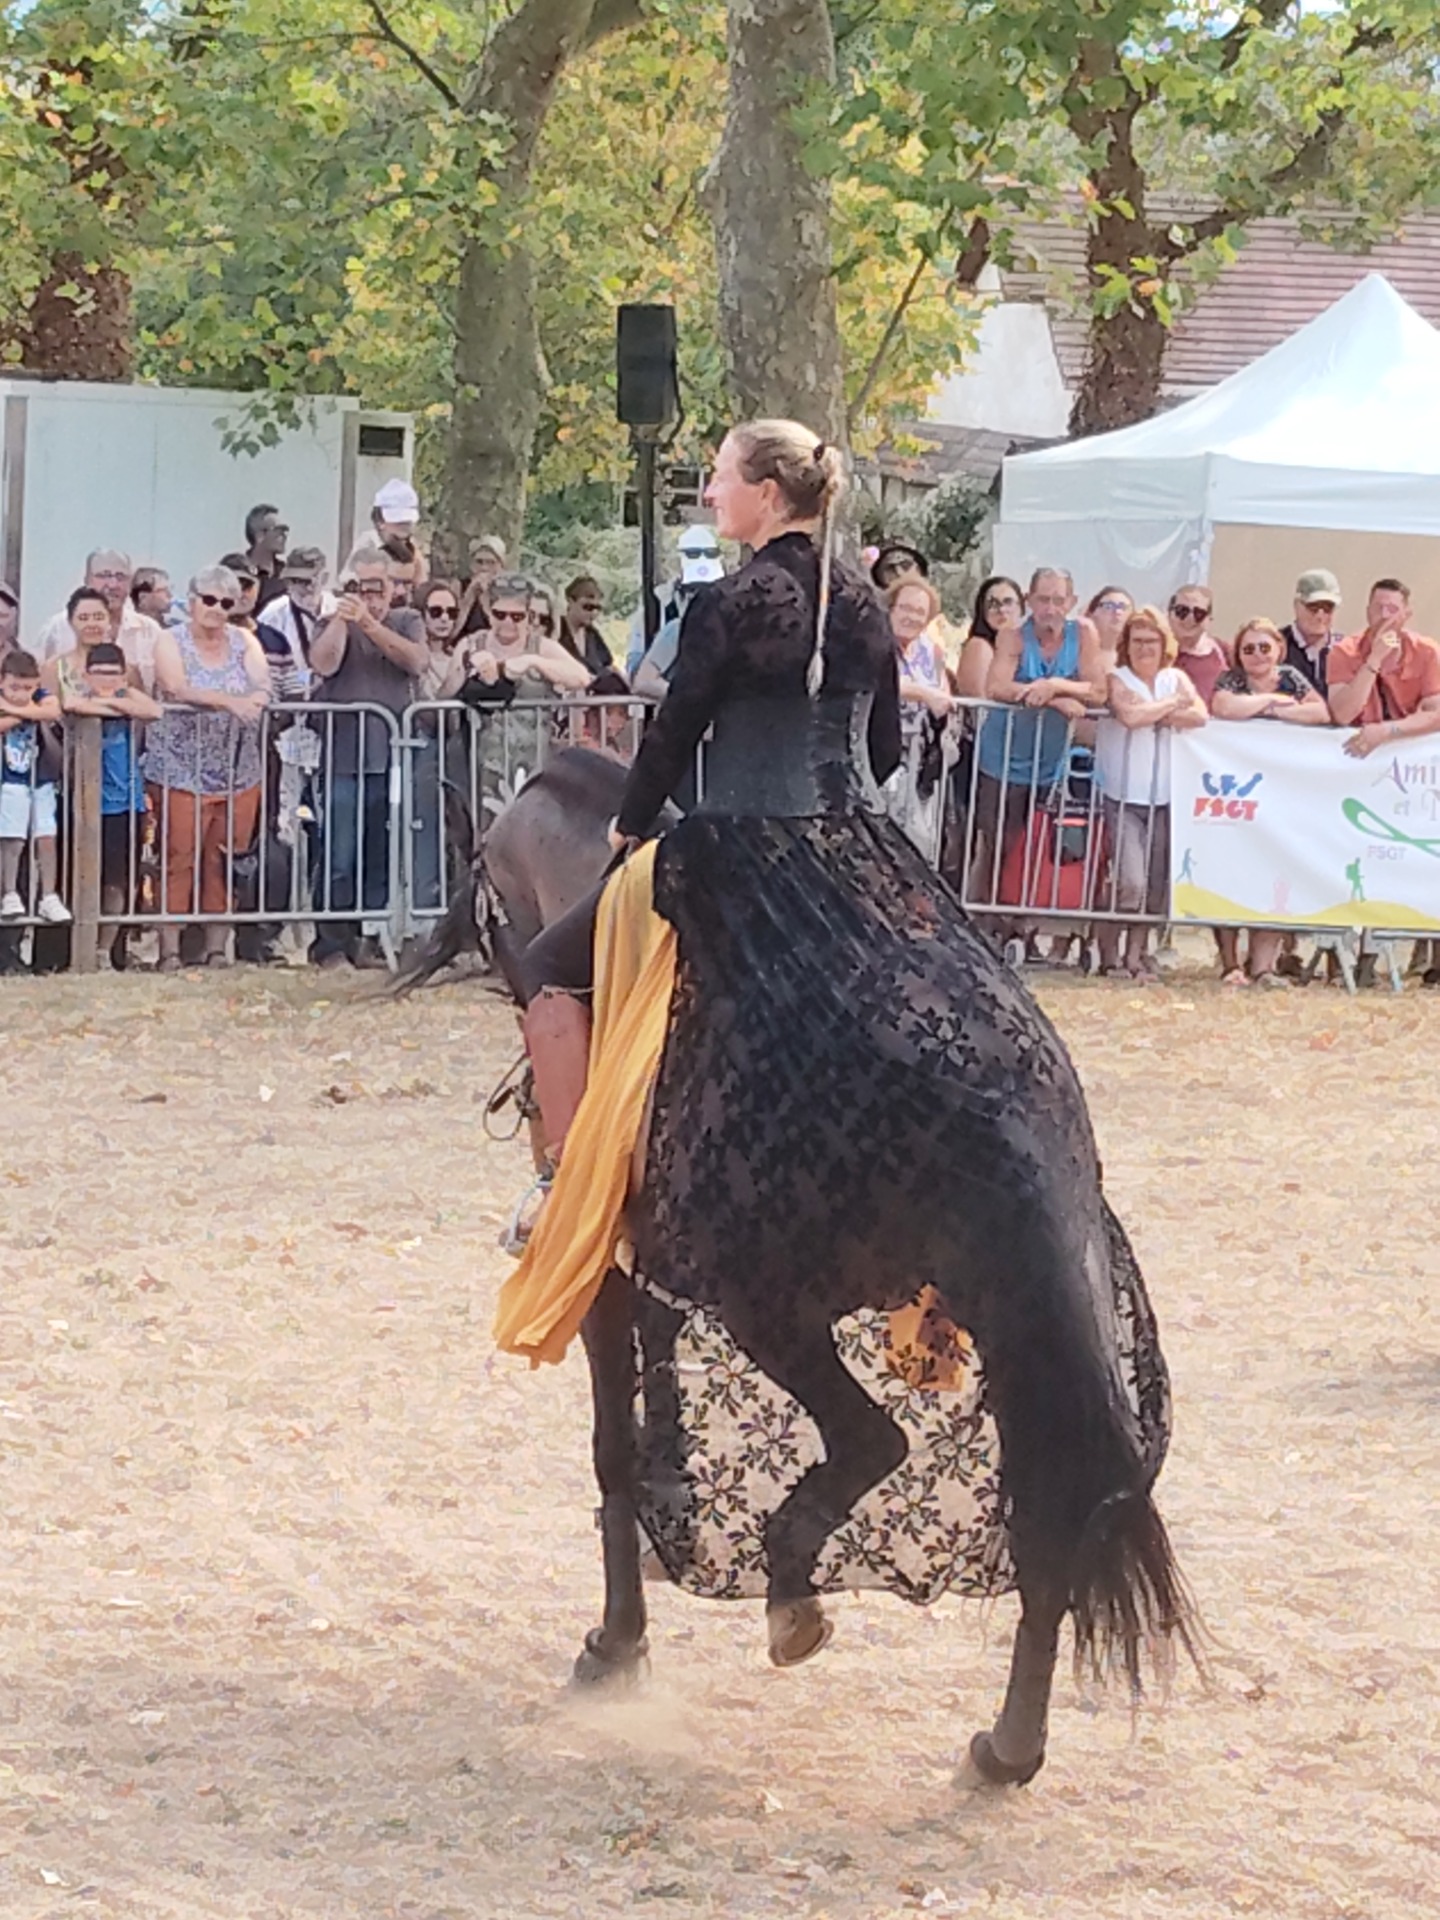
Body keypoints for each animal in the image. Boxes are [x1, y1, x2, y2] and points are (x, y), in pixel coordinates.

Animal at [401, 745, 1196, 1787]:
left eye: (485, 889)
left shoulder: (607, 1274)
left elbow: (613, 1447)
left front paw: (618, 1640)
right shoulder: (661, 1271)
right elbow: (658, 1410)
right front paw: (671, 1526)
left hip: (775, 1304)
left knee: (876, 1443)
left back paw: (794, 1596)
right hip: (1019, 1330)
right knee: (1044, 1516)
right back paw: (1005, 1749)